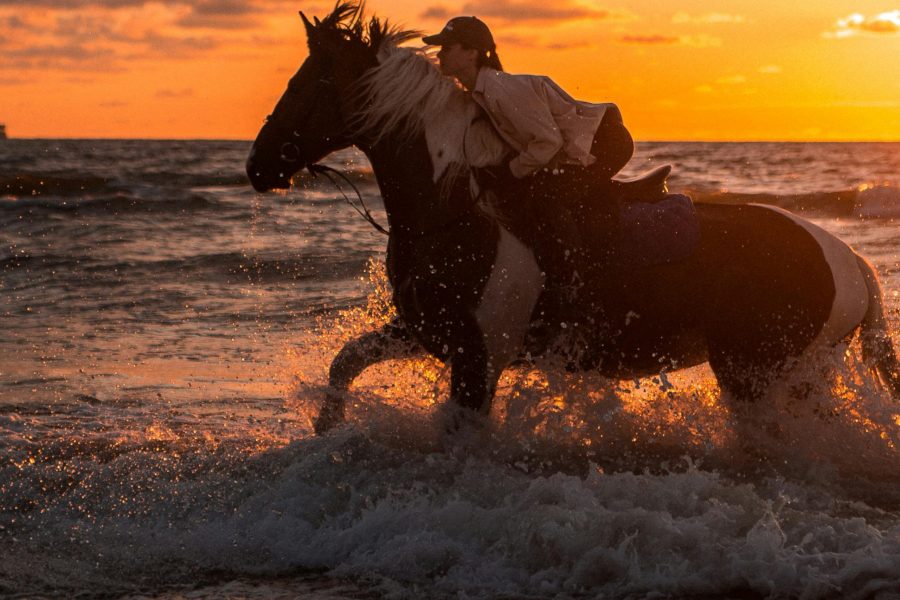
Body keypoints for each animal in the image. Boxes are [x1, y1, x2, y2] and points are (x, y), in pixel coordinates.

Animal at [246, 3, 899, 435]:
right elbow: (346, 362)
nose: (258, 165)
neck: (453, 211)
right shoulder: (428, 331)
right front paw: (325, 431)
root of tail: (851, 260)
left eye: (310, 84)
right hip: (799, 372)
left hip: (759, 374)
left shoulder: (478, 358)